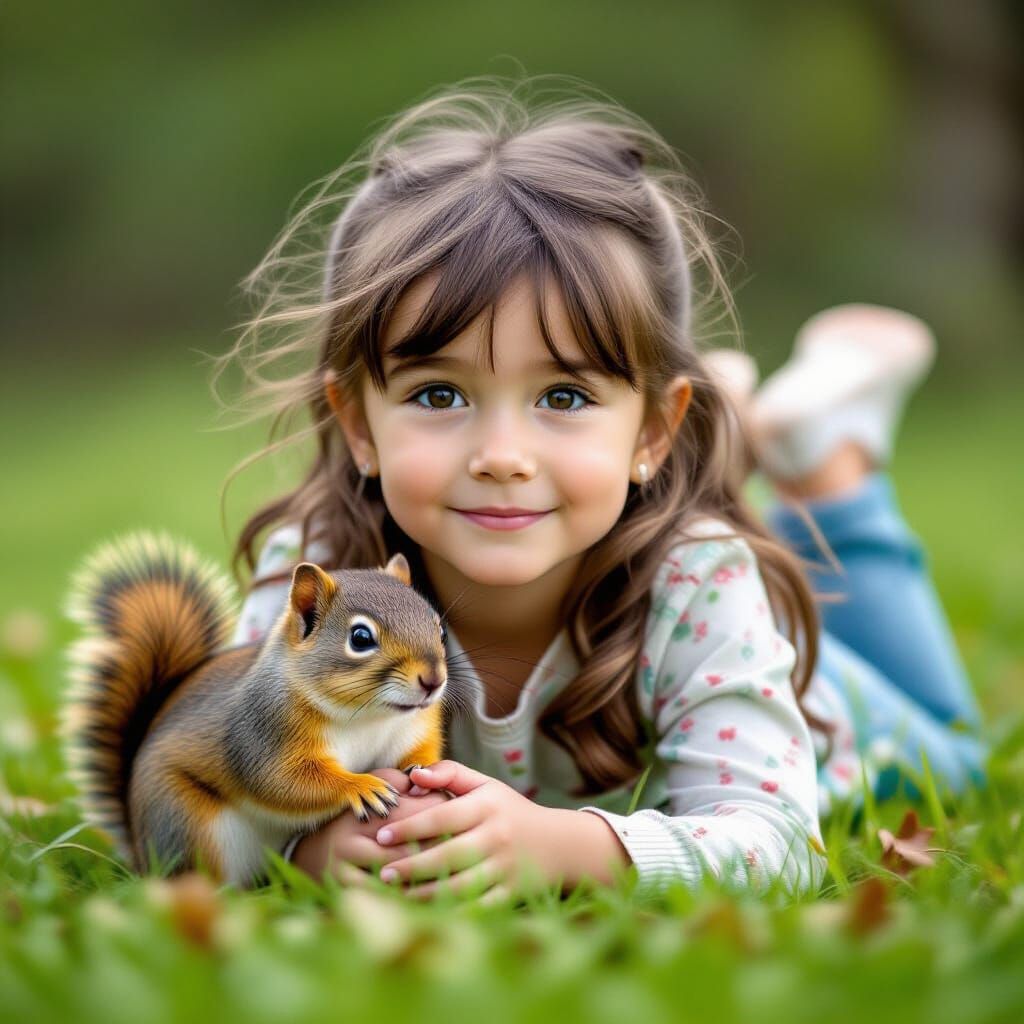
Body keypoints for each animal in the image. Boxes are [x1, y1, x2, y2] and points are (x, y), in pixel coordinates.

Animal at [61, 531, 448, 885]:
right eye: (361, 638)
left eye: (440, 628)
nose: (433, 680)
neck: (369, 716)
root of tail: (142, 854)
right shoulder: (262, 734)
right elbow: (284, 781)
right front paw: (360, 786)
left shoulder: (408, 730)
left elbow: (415, 753)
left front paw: (433, 770)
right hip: (187, 824)